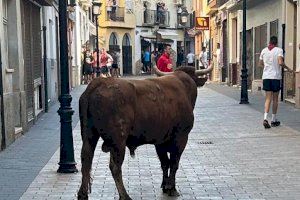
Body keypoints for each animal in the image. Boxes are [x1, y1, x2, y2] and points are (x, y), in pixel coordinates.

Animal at [78, 65, 213, 200]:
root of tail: (100, 82)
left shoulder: (160, 141)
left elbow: (165, 163)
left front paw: (165, 185)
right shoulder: (181, 137)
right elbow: (174, 163)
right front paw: (172, 188)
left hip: (89, 135)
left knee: (86, 160)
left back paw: (82, 194)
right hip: (118, 140)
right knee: (115, 167)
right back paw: (125, 195)